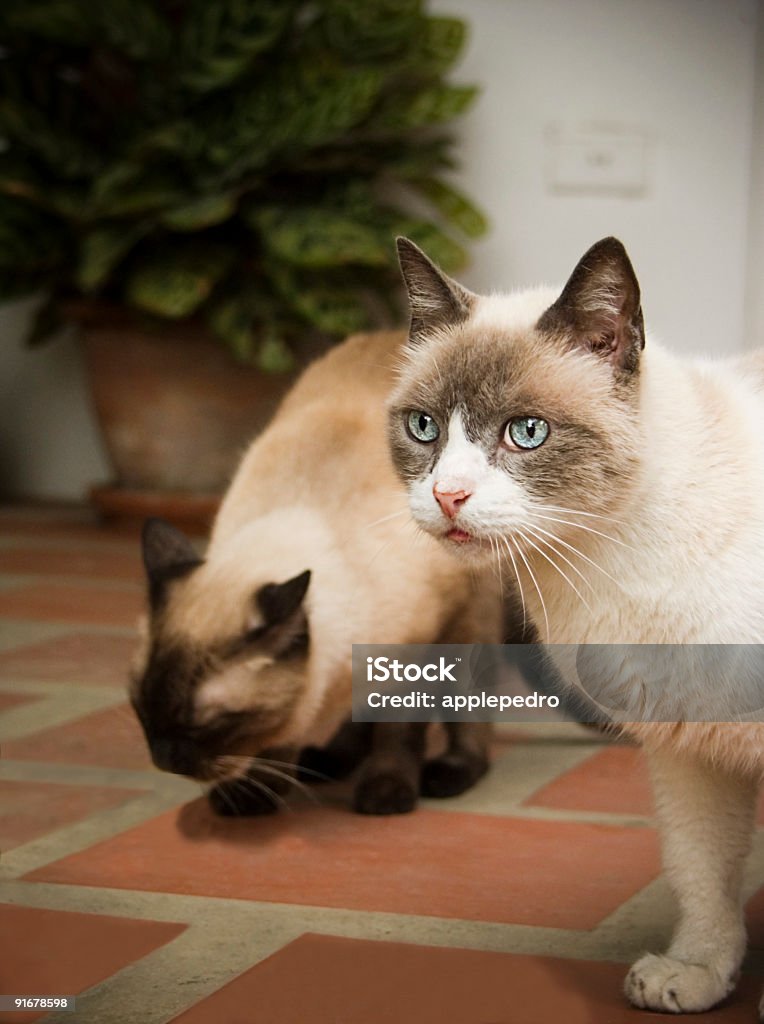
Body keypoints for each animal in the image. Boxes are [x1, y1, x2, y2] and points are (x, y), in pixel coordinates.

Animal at [131, 331, 499, 819]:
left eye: (203, 724)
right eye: (141, 708)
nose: (162, 759)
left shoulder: (415, 651)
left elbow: (398, 734)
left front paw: (386, 791)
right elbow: (284, 735)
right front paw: (256, 790)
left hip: (469, 625)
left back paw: (447, 773)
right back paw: (329, 761)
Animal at [387, 237, 764, 1015]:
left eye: (527, 433)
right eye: (424, 427)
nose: (447, 495)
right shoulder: (690, 749)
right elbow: (702, 870)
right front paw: (696, 975)